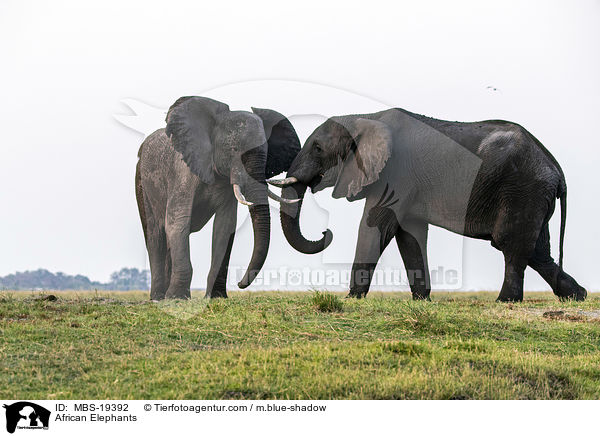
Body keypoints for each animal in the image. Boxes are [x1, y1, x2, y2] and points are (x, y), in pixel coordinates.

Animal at [138, 96, 302, 300]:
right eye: (234, 149)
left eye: (266, 152)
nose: (240, 284)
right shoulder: (182, 173)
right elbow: (177, 222)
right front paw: (177, 298)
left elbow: (224, 226)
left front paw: (214, 296)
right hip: (142, 183)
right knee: (155, 234)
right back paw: (158, 297)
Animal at [274, 107, 588, 302]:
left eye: (317, 148)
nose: (325, 233)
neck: (365, 117)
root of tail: (556, 169)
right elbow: (408, 235)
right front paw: (421, 299)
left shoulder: (396, 174)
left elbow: (375, 225)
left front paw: (351, 298)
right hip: (533, 194)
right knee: (537, 250)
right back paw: (577, 295)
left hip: (523, 189)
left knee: (510, 243)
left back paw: (506, 301)